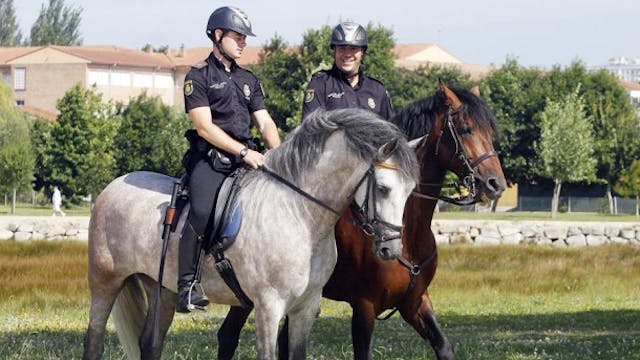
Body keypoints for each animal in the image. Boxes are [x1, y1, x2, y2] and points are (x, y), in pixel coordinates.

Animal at [218, 83, 508, 358]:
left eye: (490, 132)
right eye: (466, 129)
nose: (496, 183)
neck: (409, 237)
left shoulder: (415, 303)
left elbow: (444, 346)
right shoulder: (365, 307)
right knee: (228, 336)